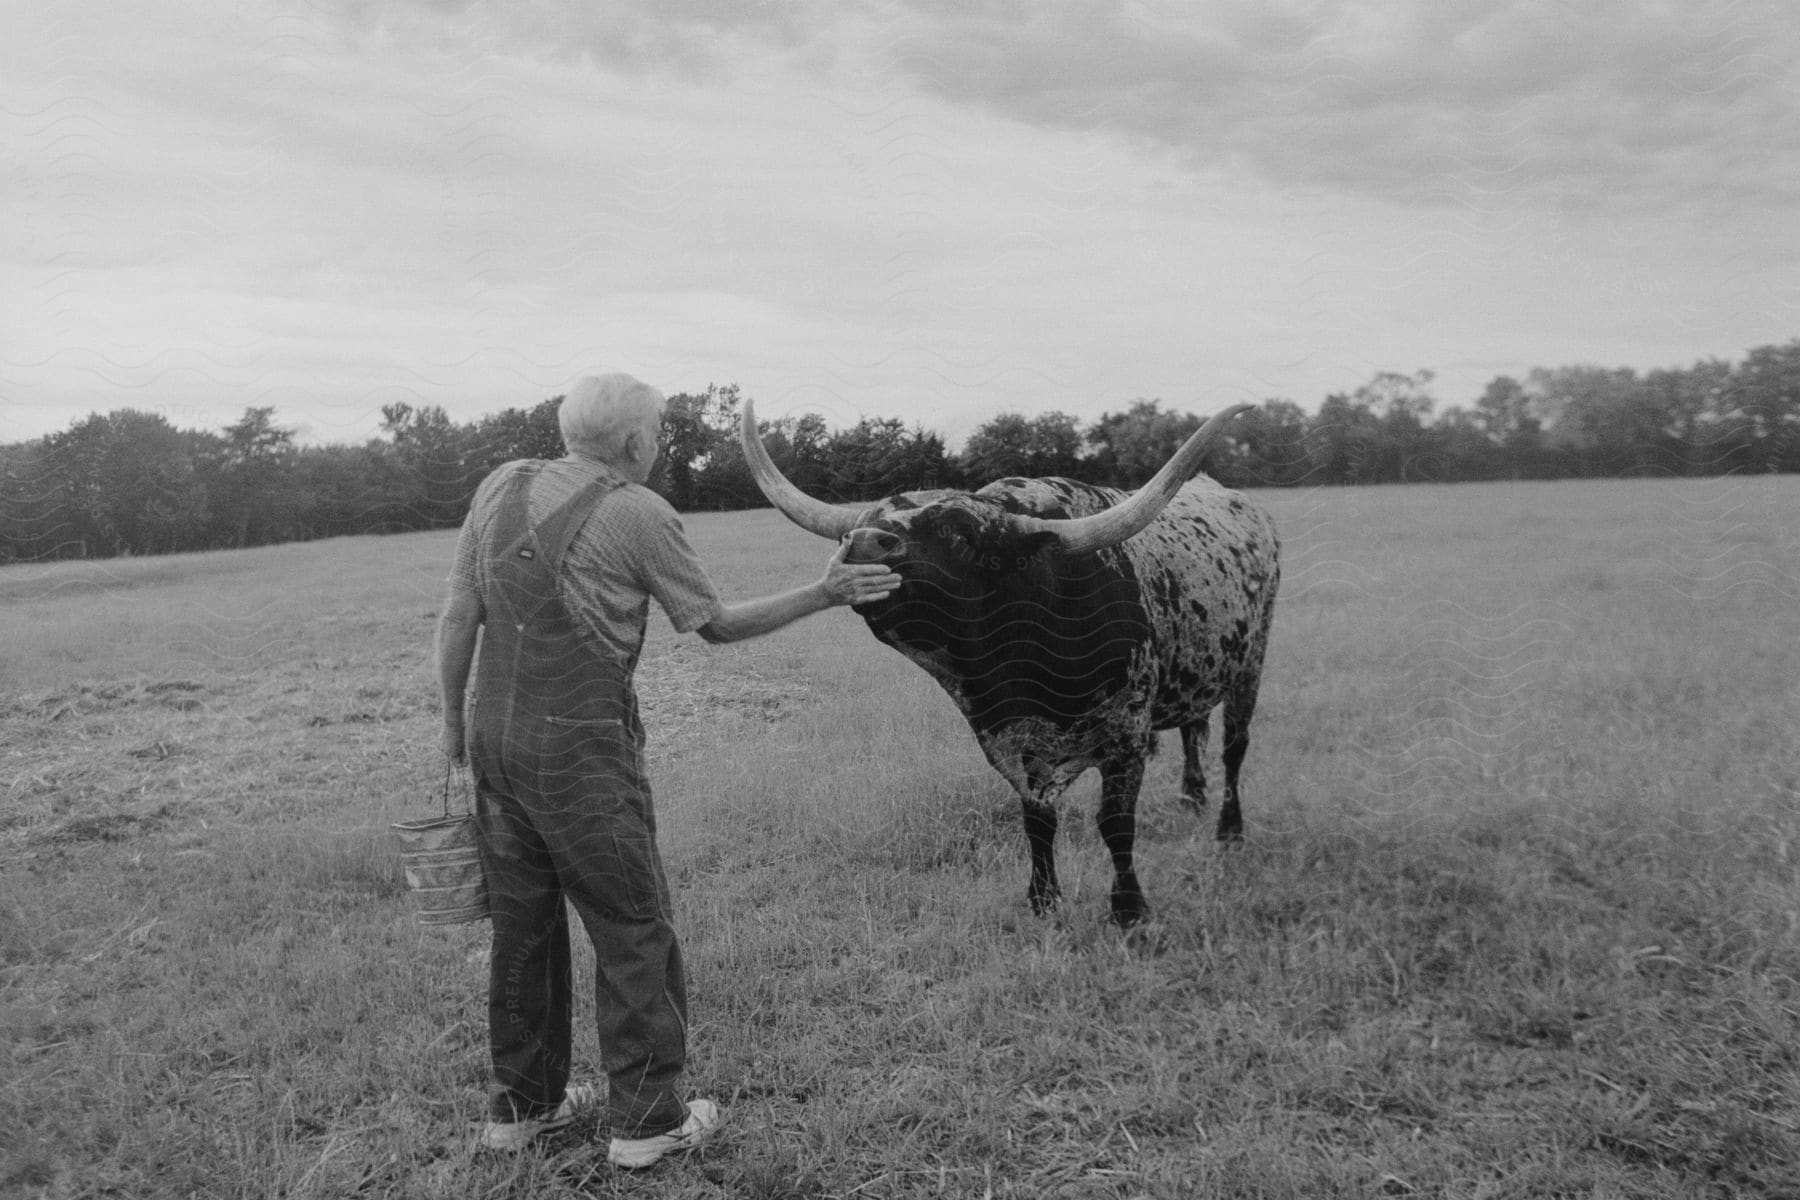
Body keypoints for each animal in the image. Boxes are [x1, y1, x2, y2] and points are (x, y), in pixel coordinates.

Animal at [745, 402, 1281, 928]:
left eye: (961, 535)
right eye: (871, 517)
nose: (861, 542)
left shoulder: (1126, 736)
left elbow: (1115, 824)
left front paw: (1129, 910)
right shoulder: (1010, 741)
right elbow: (1037, 820)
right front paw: (1043, 900)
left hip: (1250, 665)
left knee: (1235, 748)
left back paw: (1229, 829)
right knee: (1194, 727)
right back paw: (1192, 796)